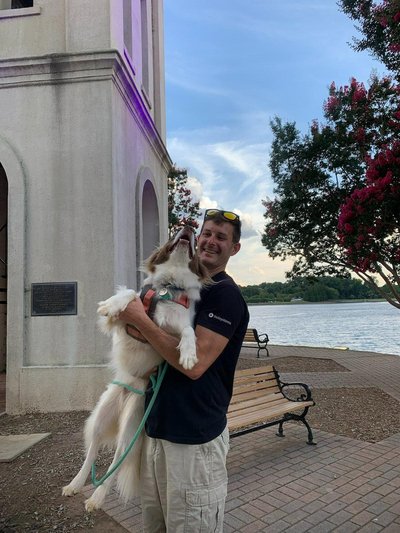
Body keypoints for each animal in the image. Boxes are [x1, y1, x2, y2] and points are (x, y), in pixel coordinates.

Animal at [62, 226, 209, 511]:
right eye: (174, 233)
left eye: (195, 237)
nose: (187, 224)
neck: (167, 288)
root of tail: (129, 392)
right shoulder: (122, 320)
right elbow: (129, 294)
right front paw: (110, 304)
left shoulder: (173, 329)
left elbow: (188, 331)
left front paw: (189, 355)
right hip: (100, 416)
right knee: (91, 453)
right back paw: (75, 485)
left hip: (131, 423)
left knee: (116, 461)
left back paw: (96, 498)